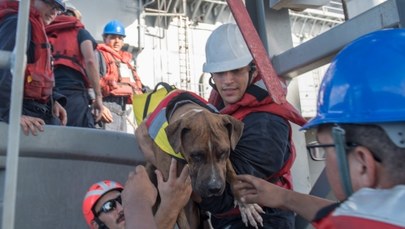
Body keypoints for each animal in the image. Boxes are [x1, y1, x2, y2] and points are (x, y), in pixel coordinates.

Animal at [134, 91, 264, 229]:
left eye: (224, 152)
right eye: (196, 155)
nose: (214, 188)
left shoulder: (226, 159)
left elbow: (233, 176)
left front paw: (246, 205)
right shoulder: (172, 189)